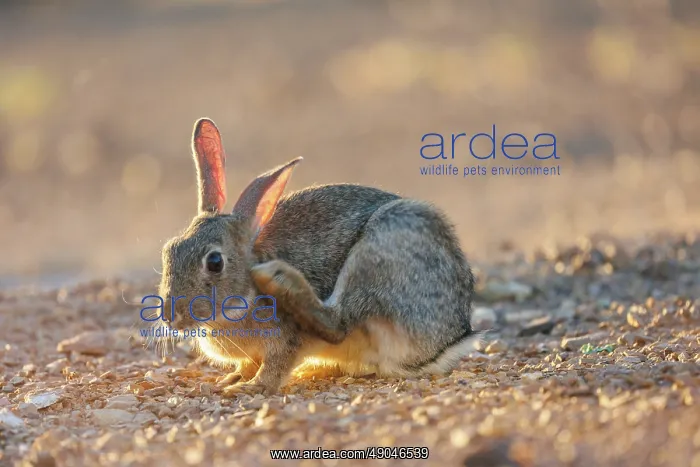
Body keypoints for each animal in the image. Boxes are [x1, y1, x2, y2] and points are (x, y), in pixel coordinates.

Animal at [156, 117, 477, 396]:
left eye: (214, 262)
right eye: (168, 250)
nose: (171, 317)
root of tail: (453, 335)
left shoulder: (287, 337)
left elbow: (276, 364)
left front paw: (251, 387)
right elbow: (248, 363)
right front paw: (231, 378)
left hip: (381, 250)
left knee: (338, 323)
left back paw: (280, 280)